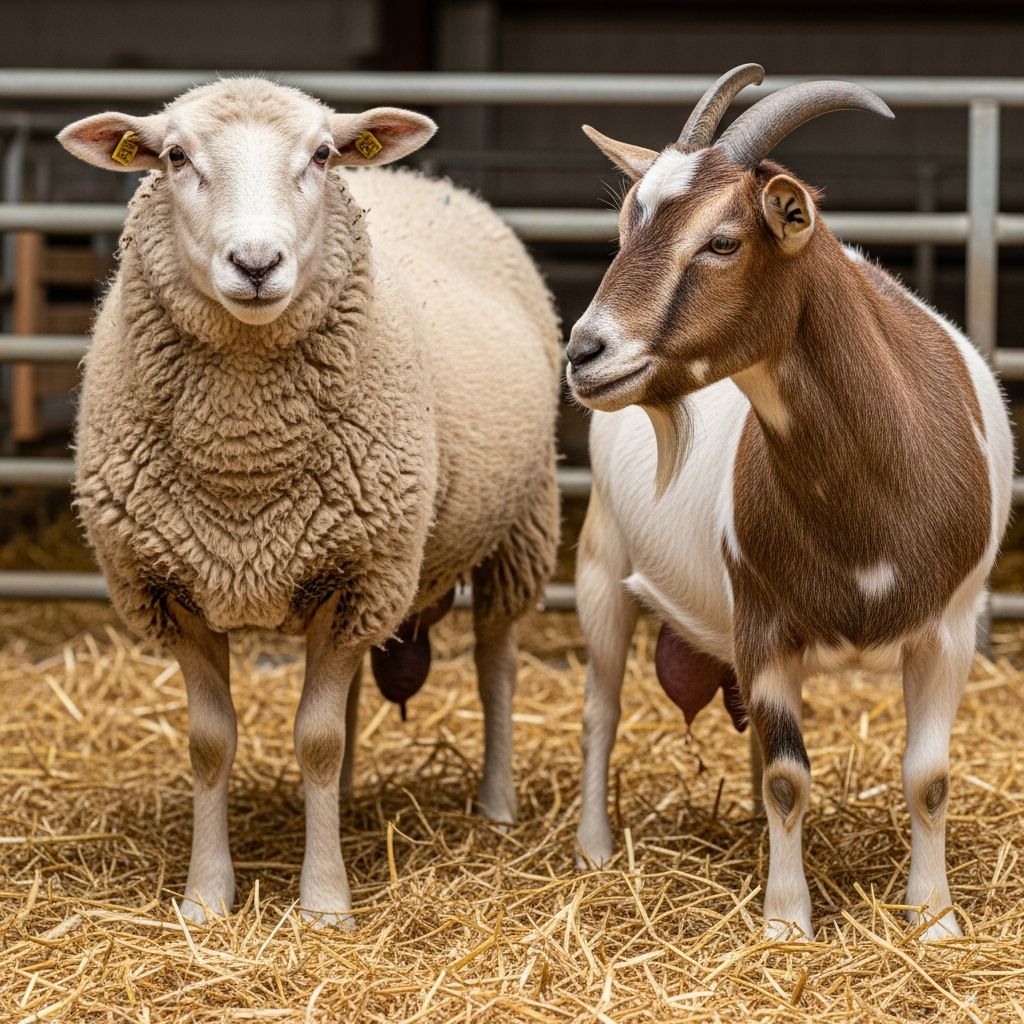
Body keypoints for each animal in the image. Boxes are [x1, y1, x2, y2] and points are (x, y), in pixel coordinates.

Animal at [58, 77, 561, 926]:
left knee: (497, 663)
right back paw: (352, 797)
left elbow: (315, 741)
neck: (243, 462)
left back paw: (496, 806)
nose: (257, 263)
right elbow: (211, 743)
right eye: (174, 156)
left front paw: (324, 902)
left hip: (519, 526)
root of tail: (421, 179)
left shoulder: (362, 576)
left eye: (322, 155)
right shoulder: (171, 589)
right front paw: (205, 898)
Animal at [565, 64, 1013, 941]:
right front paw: (785, 923)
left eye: (722, 240)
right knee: (601, 708)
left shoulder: (948, 628)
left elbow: (929, 776)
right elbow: (788, 778)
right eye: (628, 221)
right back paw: (596, 849)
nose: (585, 351)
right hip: (601, 562)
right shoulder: (766, 623)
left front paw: (934, 920)